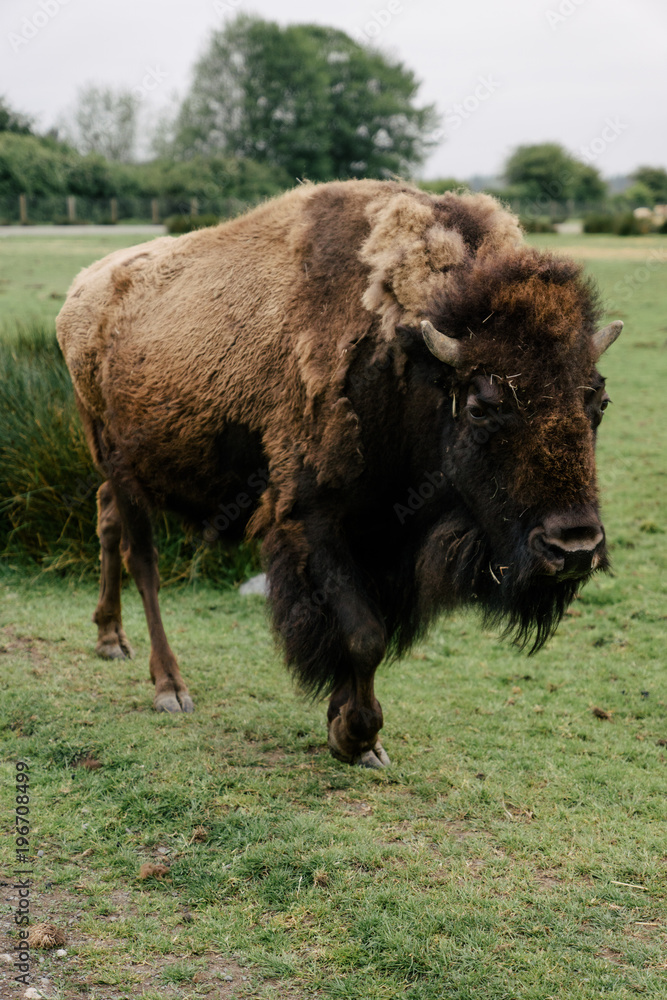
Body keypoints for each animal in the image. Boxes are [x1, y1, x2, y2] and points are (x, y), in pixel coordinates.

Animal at [54, 180, 624, 764]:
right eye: (480, 407)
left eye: (599, 401)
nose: (574, 547)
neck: (406, 365)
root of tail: (82, 290)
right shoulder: (312, 519)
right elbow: (363, 635)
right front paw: (355, 735)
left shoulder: (382, 534)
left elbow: (366, 633)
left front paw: (352, 731)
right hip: (118, 459)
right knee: (141, 560)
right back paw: (170, 687)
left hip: (119, 472)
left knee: (105, 520)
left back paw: (110, 640)